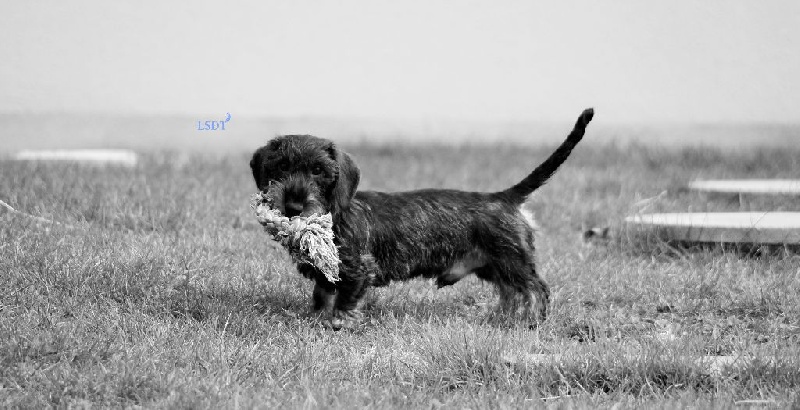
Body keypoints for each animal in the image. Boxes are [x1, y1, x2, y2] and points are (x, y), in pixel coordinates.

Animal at [250, 108, 592, 330]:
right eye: (281, 166)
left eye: (319, 170)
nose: (293, 206)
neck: (336, 213)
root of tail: (503, 197)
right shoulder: (326, 276)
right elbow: (322, 295)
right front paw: (316, 317)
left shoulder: (359, 269)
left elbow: (346, 299)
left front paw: (340, 324)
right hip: (496, 266)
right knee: (511, 292)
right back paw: (504, 319)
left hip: (513, 260)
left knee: (536, 290)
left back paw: (532, 322)